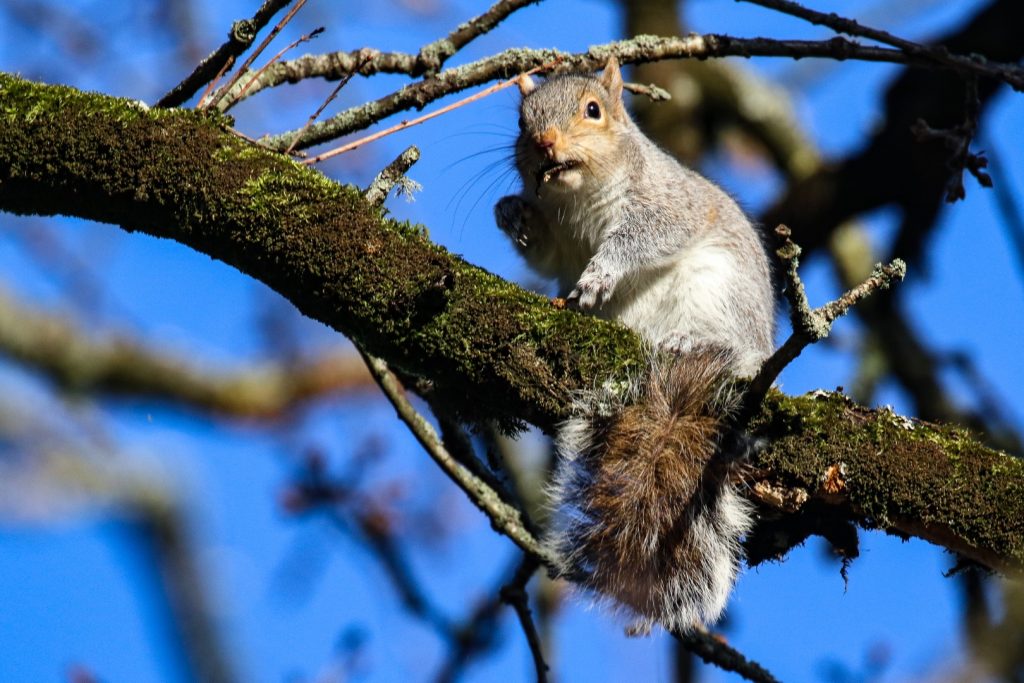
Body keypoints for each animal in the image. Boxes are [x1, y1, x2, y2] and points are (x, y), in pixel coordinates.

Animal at [495, 56, 774, 634]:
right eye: (521, 122)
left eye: (593, 110)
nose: (546, 143)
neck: (578, 202)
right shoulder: (560, 246)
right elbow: (547, 257)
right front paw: (512, 212)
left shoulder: (664, 203)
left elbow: (645, 237)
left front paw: (603, 272)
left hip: (723, 295)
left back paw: (691, 338)